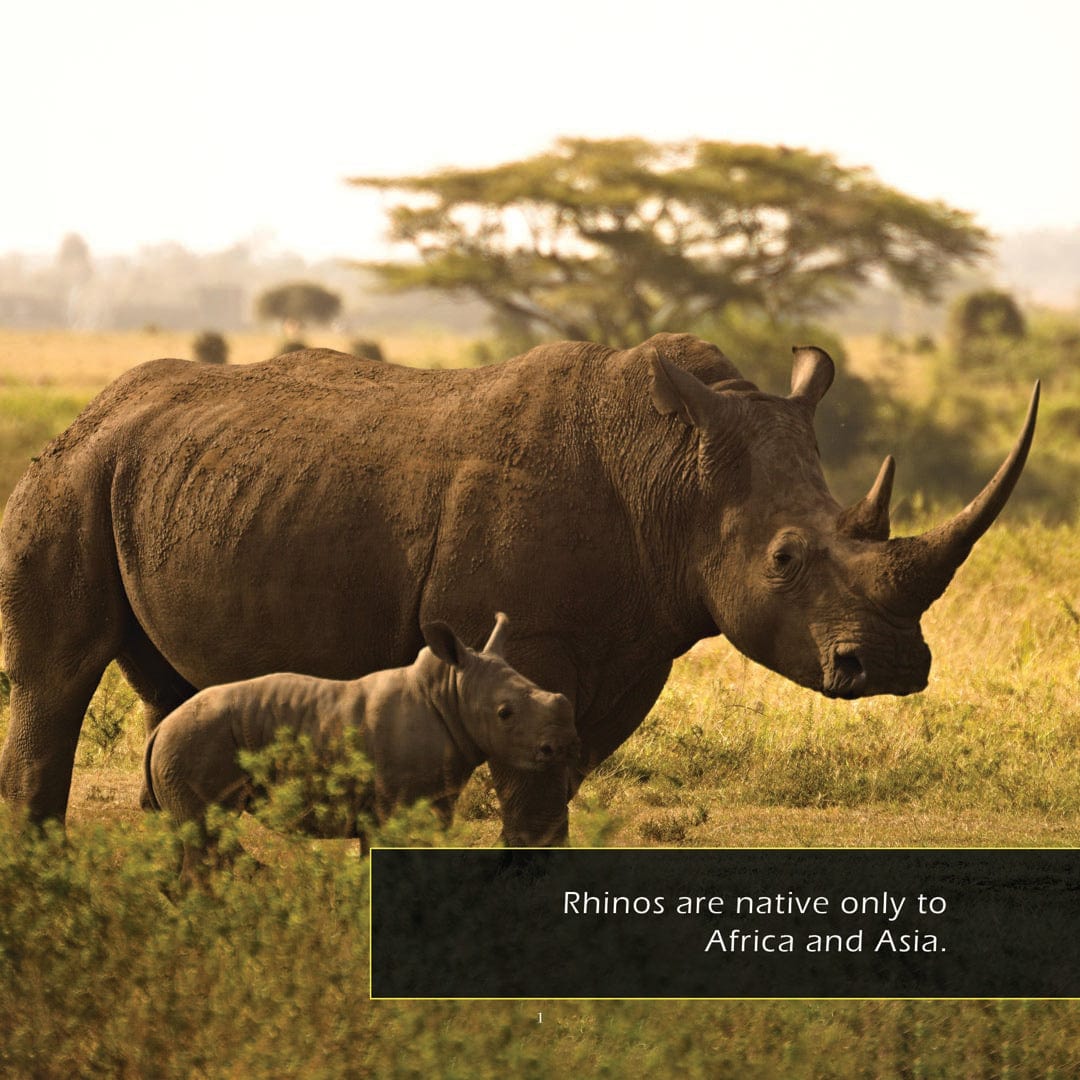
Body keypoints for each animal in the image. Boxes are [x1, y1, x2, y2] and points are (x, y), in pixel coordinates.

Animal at [143, 613, 578, 867]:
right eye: (505, 714)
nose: (561, 746)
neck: (449, 693)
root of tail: (159, 732)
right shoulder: (400, 804)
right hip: (193, 744)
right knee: (207, 838)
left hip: (182, 749)